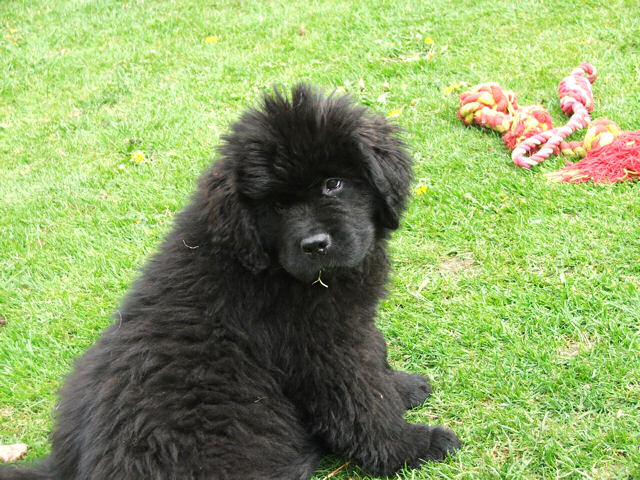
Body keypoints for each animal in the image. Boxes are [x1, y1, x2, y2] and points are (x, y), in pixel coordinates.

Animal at [0, 86, 460, 480]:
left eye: (334, 184)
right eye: (277, 205)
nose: (315, 244)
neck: (260, 260)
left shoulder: (348, 326)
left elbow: (375, 359)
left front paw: (402, 386)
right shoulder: (319, 347)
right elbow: (360, 401)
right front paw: (411, 446)